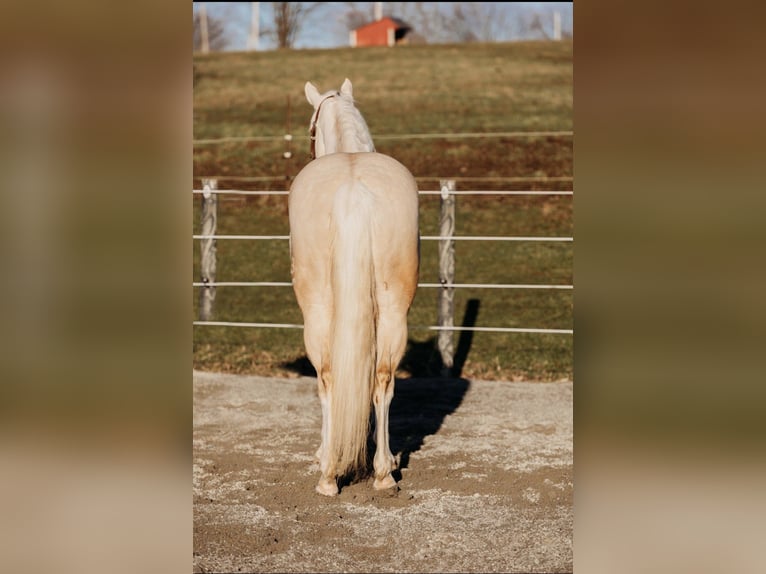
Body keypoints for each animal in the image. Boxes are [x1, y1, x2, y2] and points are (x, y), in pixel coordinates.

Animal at [288, 78, 420, 496]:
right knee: (382, 379)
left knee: (329, 378)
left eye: (311, 129)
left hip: (316, 312)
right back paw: (382, 471)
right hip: (394, 311)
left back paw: (329, 473)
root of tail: (353, 191)